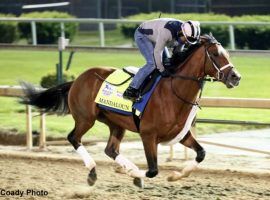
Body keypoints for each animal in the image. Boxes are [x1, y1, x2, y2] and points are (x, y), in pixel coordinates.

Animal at [21, 34, 240, 188]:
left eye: (228, 54)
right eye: (215, 54)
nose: (236, 77)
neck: (173, 91)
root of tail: (77, 80)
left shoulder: (181, 134)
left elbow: (201, 153)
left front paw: (175, 175)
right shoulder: (148, 135)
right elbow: (152, 170)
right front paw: (135, 174)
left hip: (116, 124)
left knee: (110, 149)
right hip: (85, 119)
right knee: (74, 138)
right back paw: (93, 172)